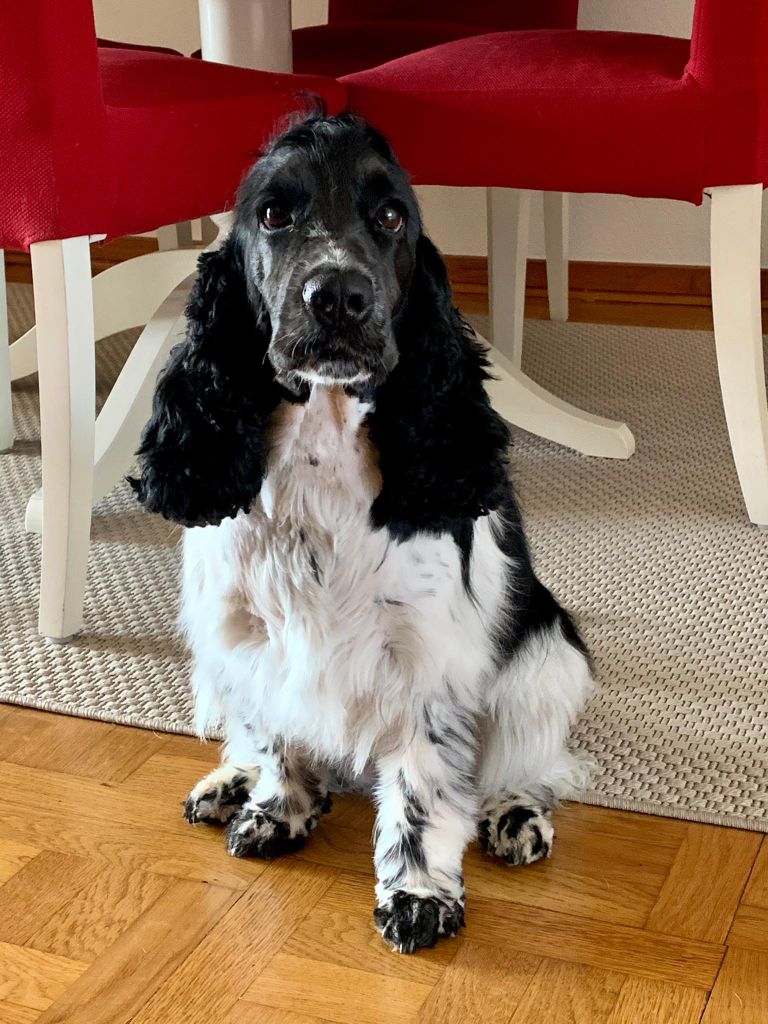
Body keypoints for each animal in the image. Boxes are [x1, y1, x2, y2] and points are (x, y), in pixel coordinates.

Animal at [135, 112, 593, 950]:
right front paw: (275, 811)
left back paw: (515, 818)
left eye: (390, 217)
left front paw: (418, 895)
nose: (339, 296)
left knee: (528, 764)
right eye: (273, 213)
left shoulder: (426, 663)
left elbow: (422, 789)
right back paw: (229, 783)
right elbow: (275, 737)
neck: (324, 441)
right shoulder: (250, 635)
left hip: (548, 661)